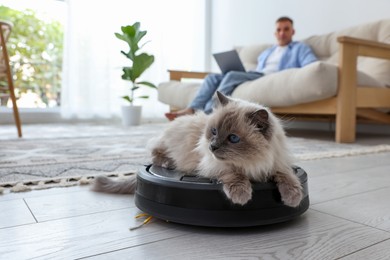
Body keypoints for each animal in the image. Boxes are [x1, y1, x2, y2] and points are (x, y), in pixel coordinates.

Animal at [93, 91, 304, 207]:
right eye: (214, 131)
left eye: (233, 138)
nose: (212, 146)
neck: (252, 162)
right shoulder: (215, 165)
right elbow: (234, 174)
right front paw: (241, 195)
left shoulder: (277, 163)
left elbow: (287, 176)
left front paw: (293, 198)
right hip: (165, 144)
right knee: (155, 155)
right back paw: (167, 163)